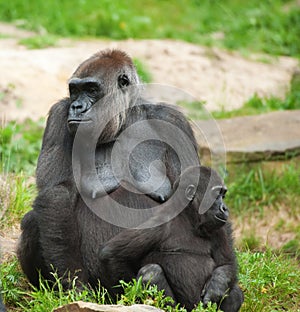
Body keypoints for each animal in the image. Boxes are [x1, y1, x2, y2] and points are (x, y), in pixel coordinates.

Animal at [16, 50, 199, 288]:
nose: (76, 107)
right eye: (74, 91)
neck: (123, 120)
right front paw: (73, 282)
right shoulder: (59, 115)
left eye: (92, 89)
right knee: (33, 220)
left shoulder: (174, 121)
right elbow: (57, 193)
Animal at [100, 165, 244, 310]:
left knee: (236, 293)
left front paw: (215, 288)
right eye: (216, 195)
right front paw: (131, 295)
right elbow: (111, 254)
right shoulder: (159, 222)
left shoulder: (219, 230)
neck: (189, 220)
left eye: (223, 195)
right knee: (151, 272)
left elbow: (226, 264)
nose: (225, 208)